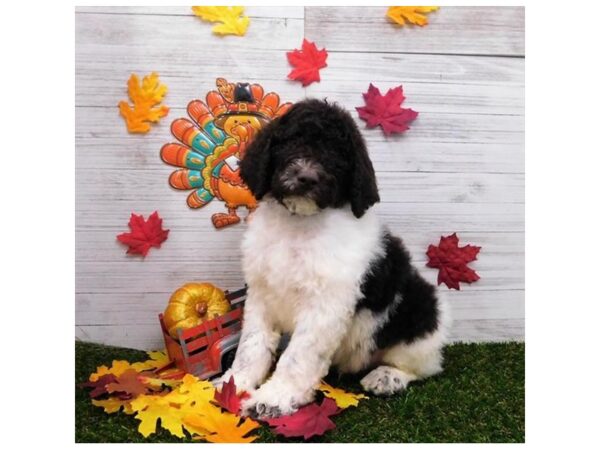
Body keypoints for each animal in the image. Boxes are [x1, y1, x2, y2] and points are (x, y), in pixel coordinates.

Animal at [214, 98, 446, 418]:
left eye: (339, 155)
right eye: (293, 140)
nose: (307, 177)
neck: (299, 225)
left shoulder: (325, 305)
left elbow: (297, 355)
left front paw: (273, 398)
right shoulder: (261, 293)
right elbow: (251, 343)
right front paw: (233, 384)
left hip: (418, 313)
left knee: (423, 366)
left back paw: (387, 376)